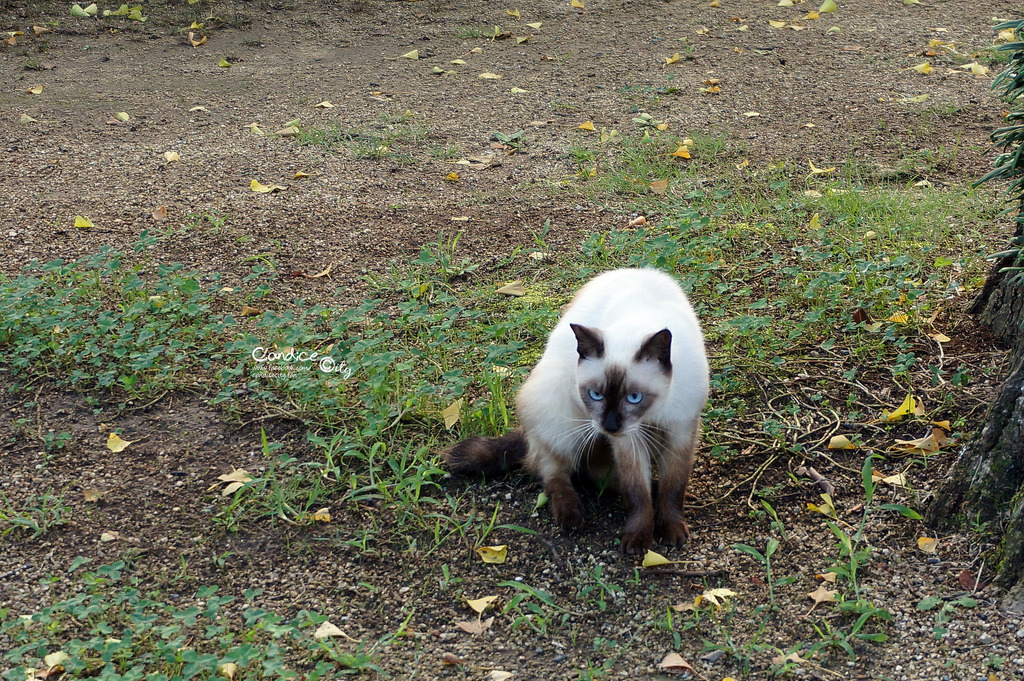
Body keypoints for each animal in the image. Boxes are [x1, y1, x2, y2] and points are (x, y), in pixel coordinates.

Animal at [444, 266, 708, 552]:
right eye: (596, 394)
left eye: (634, 397)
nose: (610, 426)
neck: (650, 414)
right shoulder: (628, 439)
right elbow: (636, 490)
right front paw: (638, 538)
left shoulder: (682, 427)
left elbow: (674, 484)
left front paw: (670, 528)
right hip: (566, 421)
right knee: (551, 470)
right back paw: (571, 516)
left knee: (594, 472)